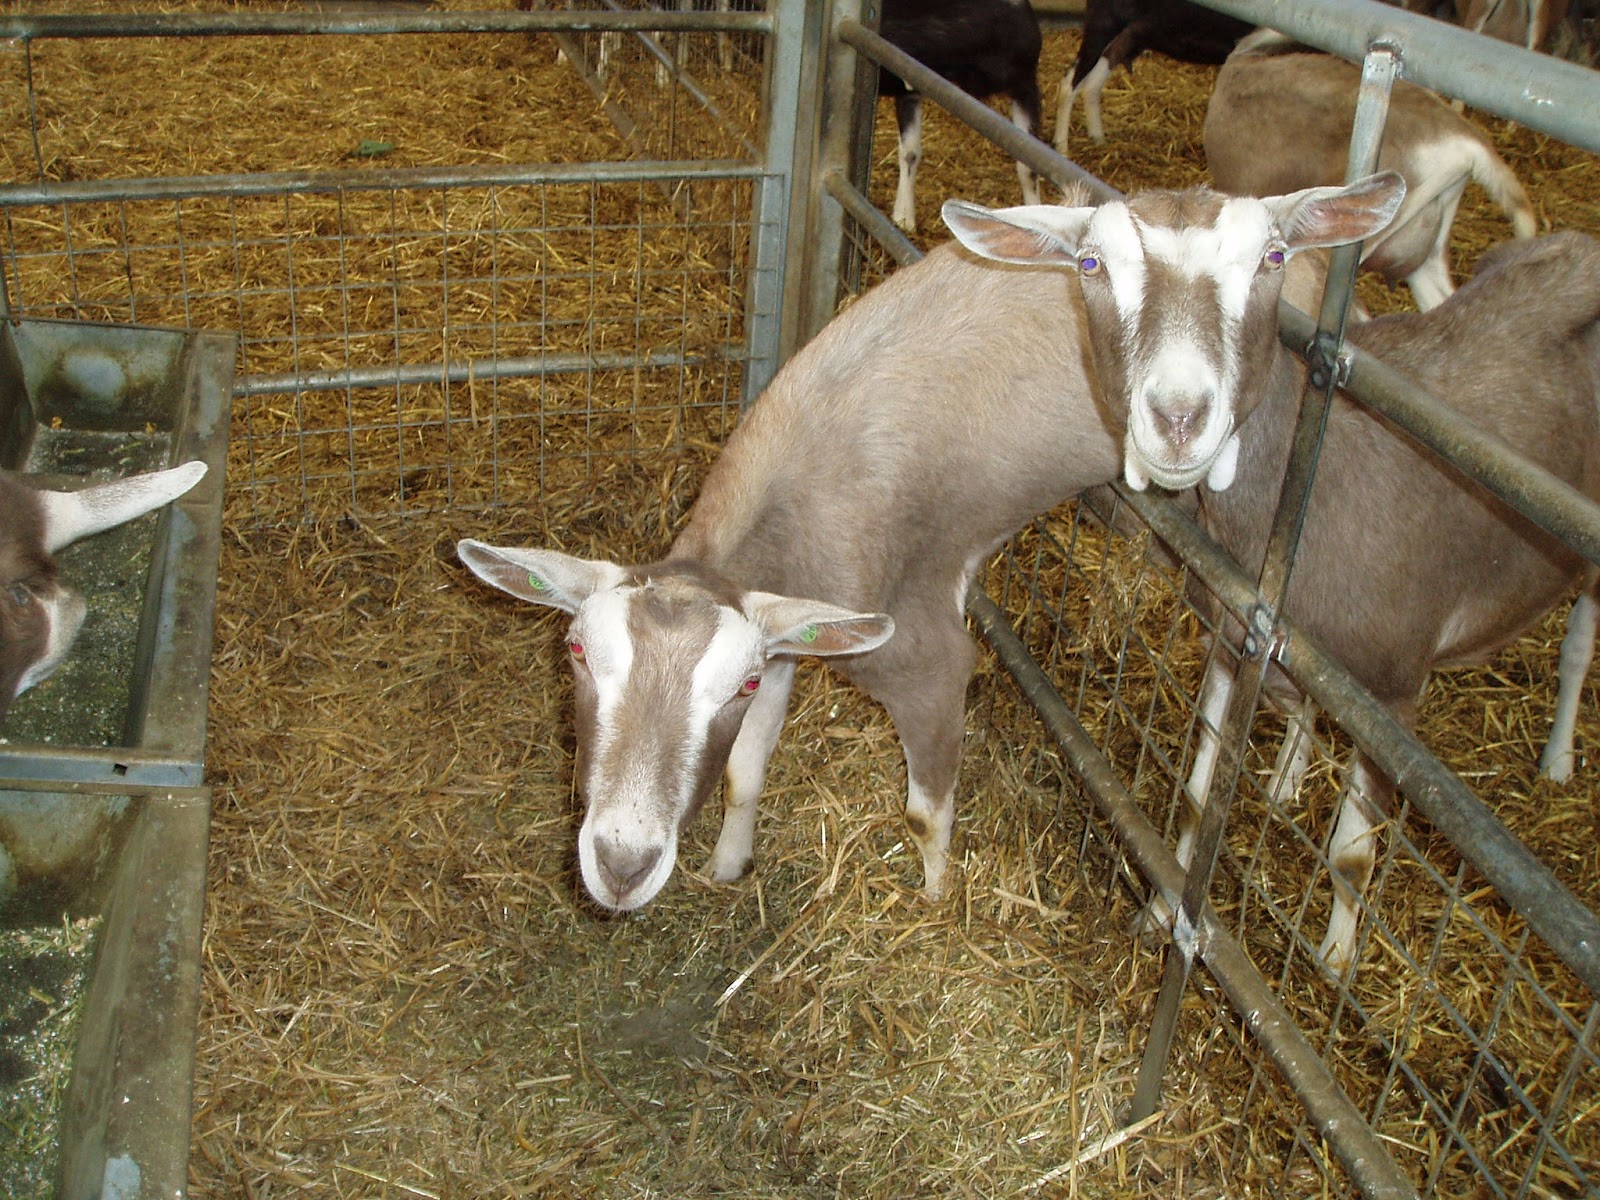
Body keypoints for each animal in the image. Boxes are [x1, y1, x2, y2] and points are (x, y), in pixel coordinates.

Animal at [457, 177, 1385, 915]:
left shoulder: (921, 659)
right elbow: (746, 771)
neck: (789, 507)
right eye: (576, 652)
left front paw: (937, 901)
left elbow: (922, 809)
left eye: (734, 685)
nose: (621, 863)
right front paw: (729, 863)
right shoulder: (793, 630)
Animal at [943, 179, 1600, 976]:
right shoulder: (1232, 631)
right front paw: (1164, 910)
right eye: (1092, 263)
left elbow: (1351, 857)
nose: (1179, 417)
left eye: (1274, 258)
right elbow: (1200, 787)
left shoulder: (1390, 695)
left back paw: (1559, 759)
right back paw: (1289, 776)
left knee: (1577, 646)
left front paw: (1337, 961)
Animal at [1054, 0, 1254, 155]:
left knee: (1093, 83)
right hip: (1103, 23)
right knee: (1070, 82)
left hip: (1129, 35)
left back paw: (1098, 140)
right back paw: (1062, 149)